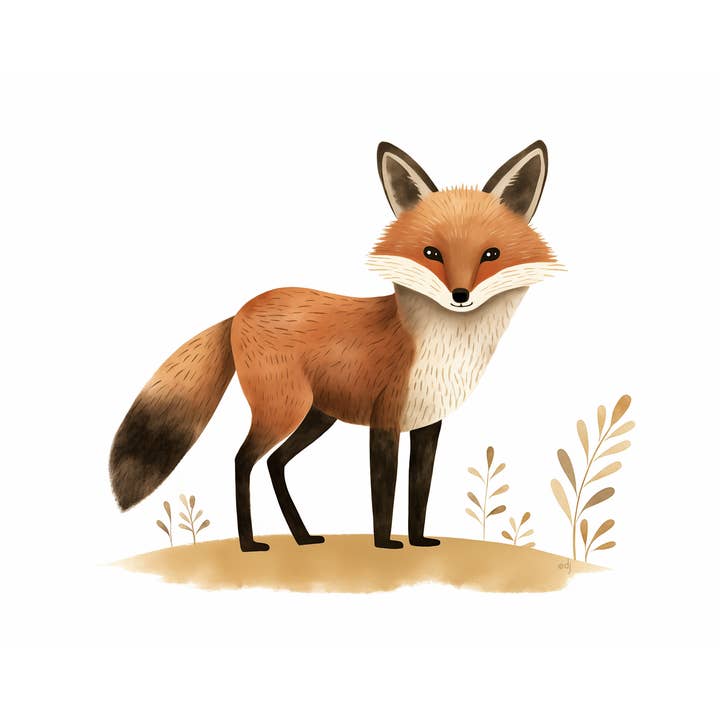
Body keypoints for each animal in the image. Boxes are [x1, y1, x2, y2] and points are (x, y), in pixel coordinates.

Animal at [110, 140, 561, 551]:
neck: (442, 349)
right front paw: (386, 545)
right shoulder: (385, 420)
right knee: (242, 461)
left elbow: (419, 493)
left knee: (275, 463)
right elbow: (384, 494)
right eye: (432, 253)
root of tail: (239, 311)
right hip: (284, 410)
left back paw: (303, 536)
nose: (460, 295)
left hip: (317, 416)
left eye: (491, 254)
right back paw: (249, 543)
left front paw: (419, 541)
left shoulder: (427, 424)